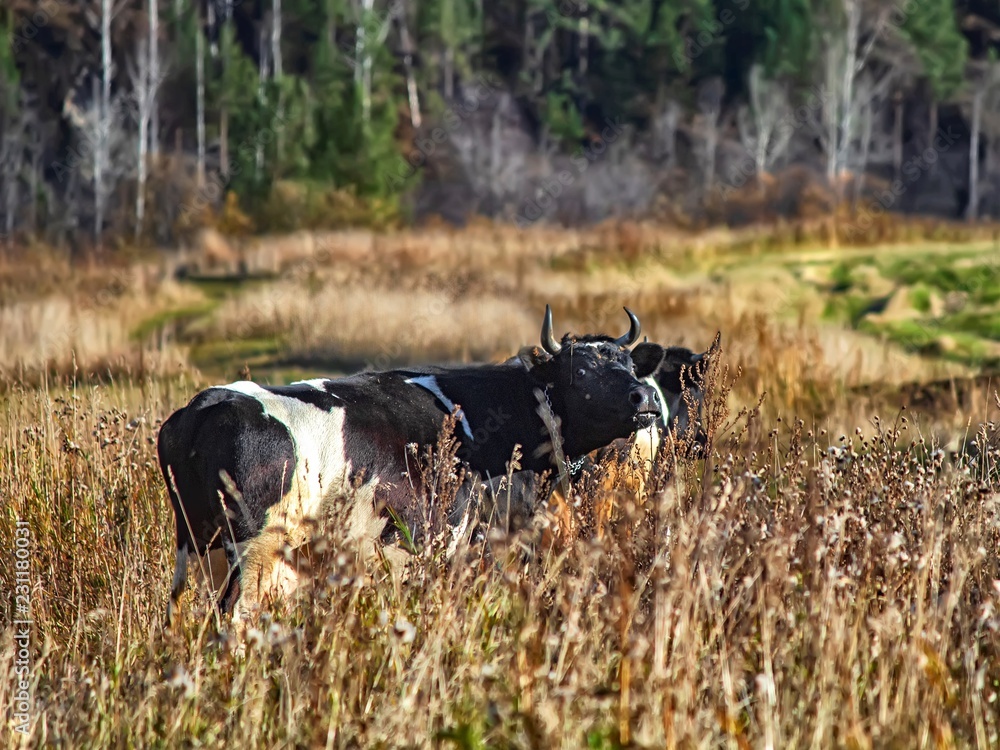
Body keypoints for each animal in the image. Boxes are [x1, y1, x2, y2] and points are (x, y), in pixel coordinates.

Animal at [160, 306, 664, 624]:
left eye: (628, 365)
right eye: (580, 372)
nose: (644, 398)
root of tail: (209, 401)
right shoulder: (448, 538)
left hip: (195, 552)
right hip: (256, 553)